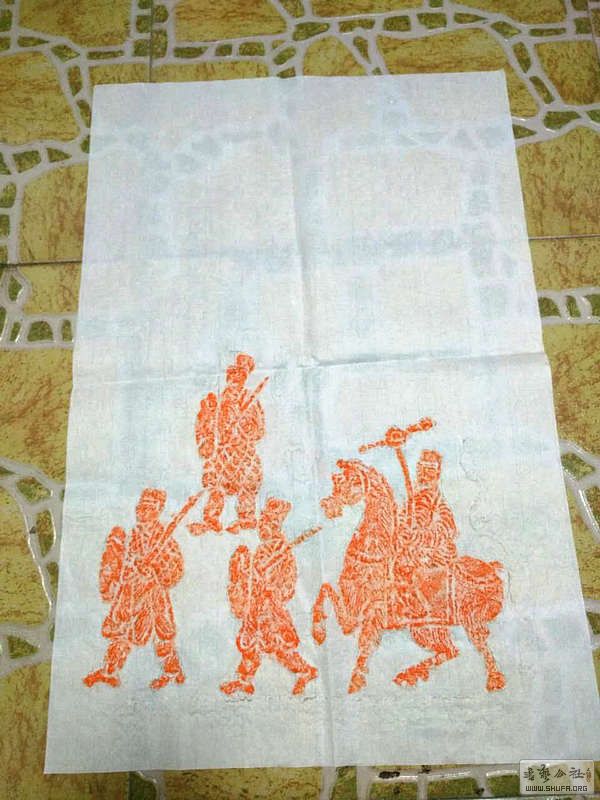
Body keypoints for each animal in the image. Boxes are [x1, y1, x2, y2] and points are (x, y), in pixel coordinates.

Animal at [313, 458, 506, 694]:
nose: (327, 506)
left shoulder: (375, 612)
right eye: (335, 481)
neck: (373, 554)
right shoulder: (352, 610)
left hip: (469, 620)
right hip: (426, 627)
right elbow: (325, 591)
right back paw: (409, 674)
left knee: (480, 646)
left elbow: (366, 644)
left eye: (350, 482)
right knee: (450, 650)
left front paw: (355, 682)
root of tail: (492, 568)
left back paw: (495, 680)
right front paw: (318, 632)